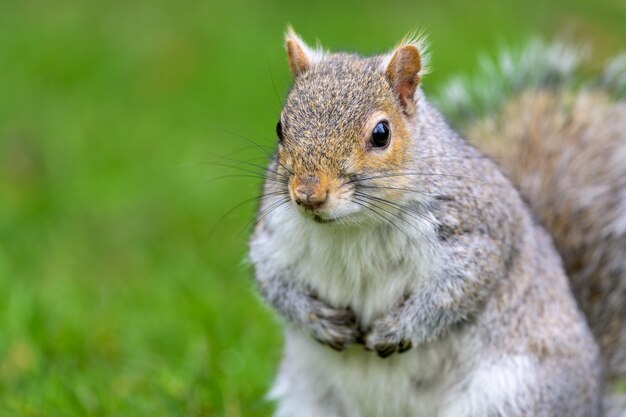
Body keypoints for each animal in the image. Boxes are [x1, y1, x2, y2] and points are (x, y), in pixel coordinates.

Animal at [246, 30, 620, 416]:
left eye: (381, 133)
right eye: (280, 128)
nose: (308, 194)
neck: (351, 225)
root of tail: (593, 398)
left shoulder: (476, 232)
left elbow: (455, 291)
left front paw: (399, 328)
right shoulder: (274, 237)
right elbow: (273, 281)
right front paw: (317, 320)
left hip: (508, 397)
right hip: (310, 402)